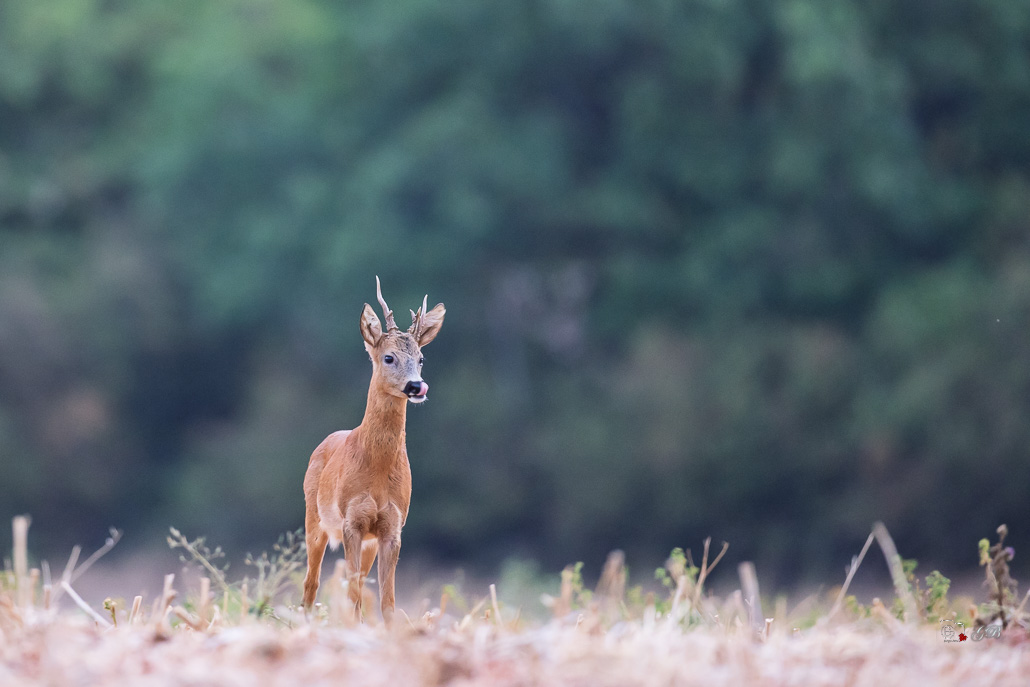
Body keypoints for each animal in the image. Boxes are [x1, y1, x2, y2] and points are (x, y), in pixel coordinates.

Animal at [301, 277, 445, 623]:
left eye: (421, 359)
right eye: (388, 357)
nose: (417, 386)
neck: (377, 472)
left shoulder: (393, 526)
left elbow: (387, 600)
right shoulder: (351, 521)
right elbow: (353, 593)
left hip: (366, 541)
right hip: (315, 516)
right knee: (311, 582)